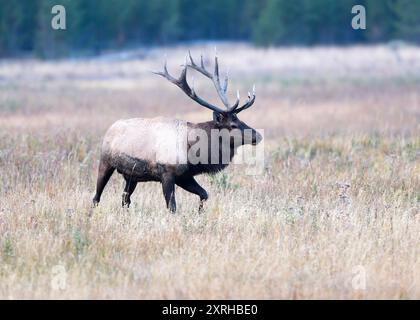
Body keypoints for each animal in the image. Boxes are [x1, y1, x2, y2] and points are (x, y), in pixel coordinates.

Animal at [93, 52, 260, 212]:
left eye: (240, 119)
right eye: (233, 124)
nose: (258, 135)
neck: (193, 152)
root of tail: (111, 127)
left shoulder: (184, 175)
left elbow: (204, 194)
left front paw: (199, 213)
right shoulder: (167, 173)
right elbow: (172, 206)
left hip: (131, 175)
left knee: (125, 199)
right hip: (105, 161)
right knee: (97, 196)